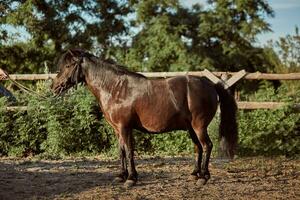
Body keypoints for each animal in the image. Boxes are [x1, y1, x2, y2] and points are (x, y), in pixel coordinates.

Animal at [52, 48, 239, 188]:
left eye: (68, 65)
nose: (54, 87)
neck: (115, 88)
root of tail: (210, 84)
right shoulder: (117, 130)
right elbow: (121, 151)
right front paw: (121, 175)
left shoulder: (125, 127)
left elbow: (129, 151)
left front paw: (131, 179)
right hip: (191, 128)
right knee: (198, 148)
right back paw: (194, 174)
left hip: (199, 126)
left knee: (207, 146)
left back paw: (204, 177)